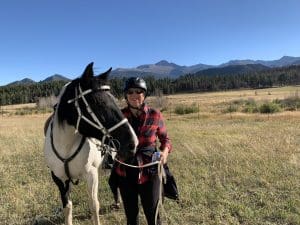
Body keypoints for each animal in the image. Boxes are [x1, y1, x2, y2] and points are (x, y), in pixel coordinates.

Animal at [43, 62, 138, 225]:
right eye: (98, 102)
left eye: (114, 99)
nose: (133, 142)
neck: (66, 146)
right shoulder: (59, 179)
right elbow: (67, 208)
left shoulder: (91, 175)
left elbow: (94, 205)